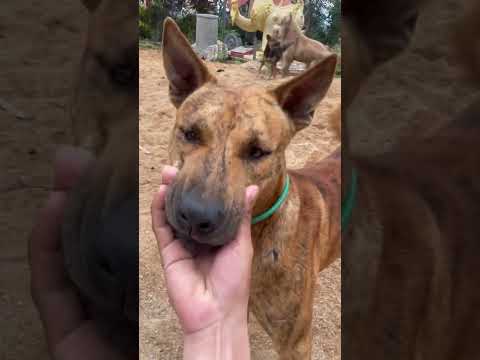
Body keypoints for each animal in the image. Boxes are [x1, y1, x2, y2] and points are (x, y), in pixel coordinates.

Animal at [162, 18, 342, 358]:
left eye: (258, 152)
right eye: (190, 133)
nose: (196, 217)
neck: (260, 235)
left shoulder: (296, 344)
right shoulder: (235, 312)